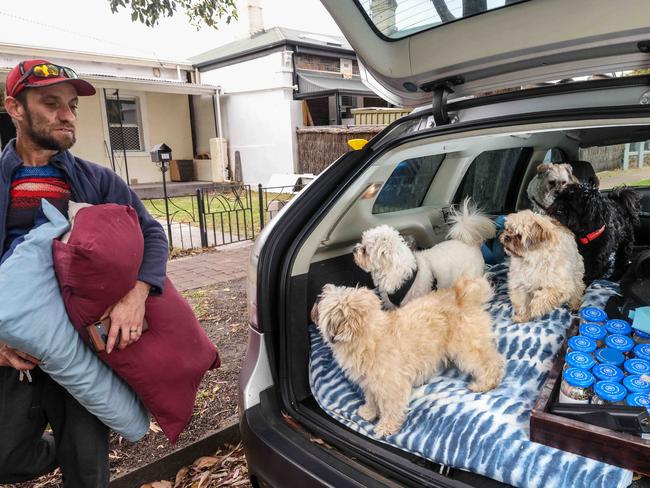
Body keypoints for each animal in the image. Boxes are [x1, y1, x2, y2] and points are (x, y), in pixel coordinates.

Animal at [312, 274, 504, 438]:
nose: (315, 300)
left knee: (492, 361)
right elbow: (372, 398)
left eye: (323, 303)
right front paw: (369, 411)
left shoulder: (392, 386)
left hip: (466, 346)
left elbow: (391, 409)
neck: (369, 335)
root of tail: (459, 295)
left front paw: (385, 427)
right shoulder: (371, 383)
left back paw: (484, 384)